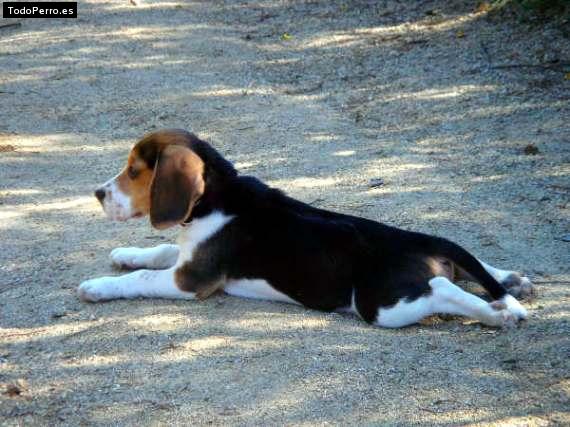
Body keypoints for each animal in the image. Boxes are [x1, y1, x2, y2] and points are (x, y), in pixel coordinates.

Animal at [79, 129, 532, 330]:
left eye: (134, 171)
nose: (98, 193)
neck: (220, 195)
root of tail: (417, 241)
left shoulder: (191, 278)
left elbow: (141, 277)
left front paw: (98, 286)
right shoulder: (190, 254)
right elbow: (158, 252)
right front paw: (124, 255)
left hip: (384, 304)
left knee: (443, 289)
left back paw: (498, 313)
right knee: (475, 268)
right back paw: (513, 279)